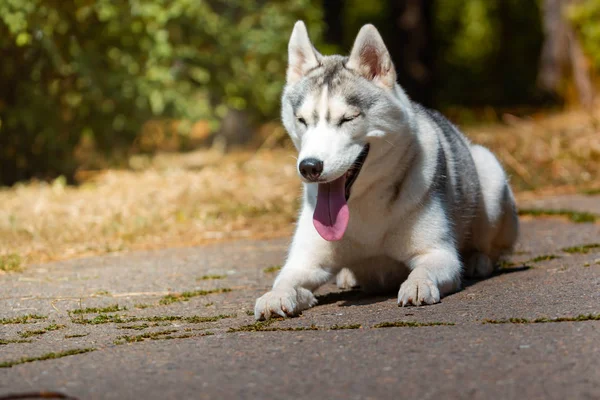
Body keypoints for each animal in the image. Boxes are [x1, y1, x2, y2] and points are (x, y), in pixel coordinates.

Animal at [255, 22, 516, 322]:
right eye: (302, 120)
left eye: (347, 119)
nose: (309, 166)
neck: (363, 204)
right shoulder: (304, 263)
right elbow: (285, 279)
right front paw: (276, 295)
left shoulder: (439, 253)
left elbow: (425, 268)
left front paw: (417, 283)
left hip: (490, 175)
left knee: (492, 246)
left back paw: (477, 260)